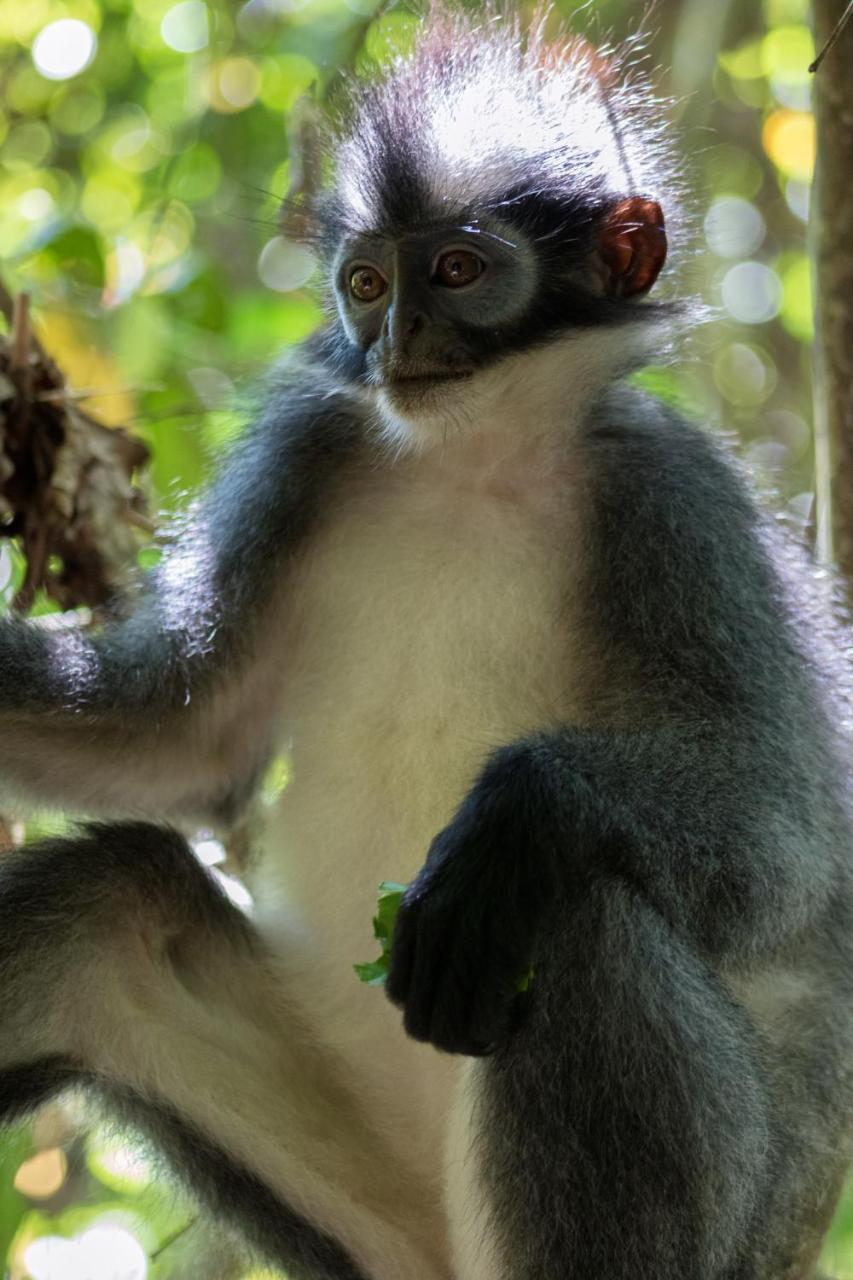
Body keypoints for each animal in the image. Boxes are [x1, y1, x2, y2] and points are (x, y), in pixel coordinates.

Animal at [1, 10, 850, 1280]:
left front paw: (516, 806)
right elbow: (182, 735)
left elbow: (790, 836)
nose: (396, 335)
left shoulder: (669, 493)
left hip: (729, 1217)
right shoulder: (312, 450)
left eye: (456, 271)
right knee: (100, 905)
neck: (469, 461)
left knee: (565, 913)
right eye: (365, 282)